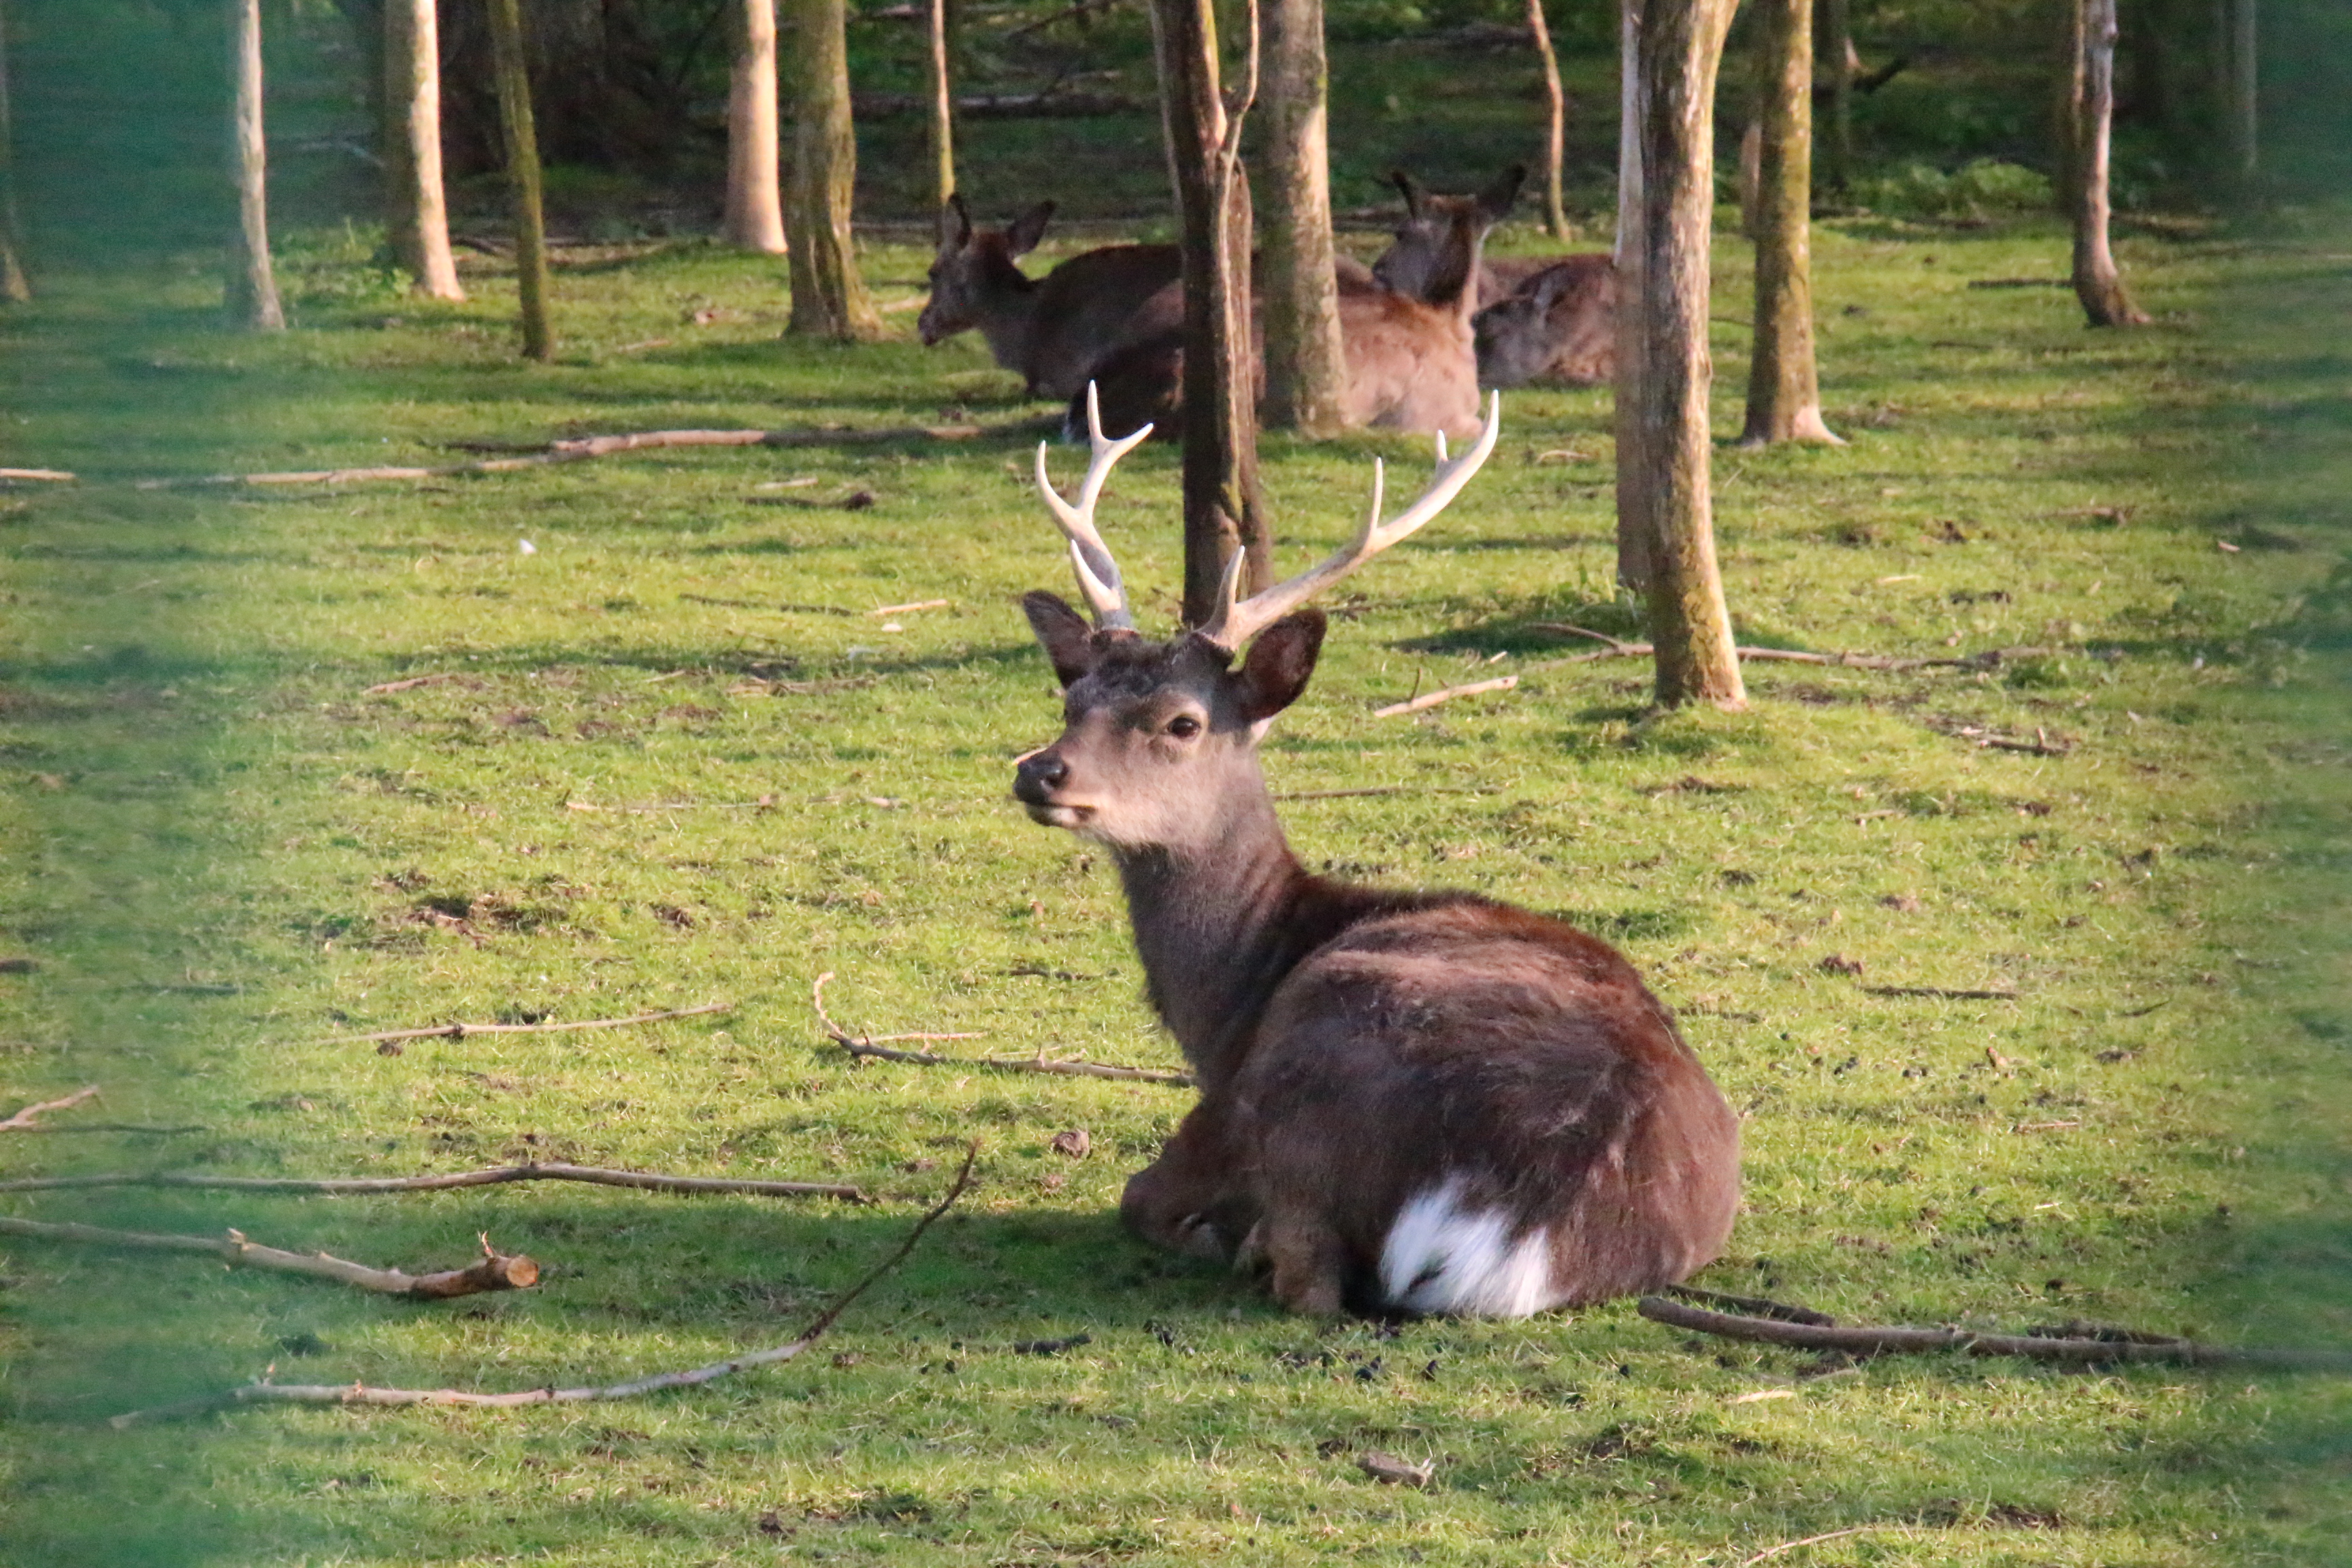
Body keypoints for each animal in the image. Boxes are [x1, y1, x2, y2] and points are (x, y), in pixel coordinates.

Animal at [1015, 385, 1750, 1316]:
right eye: (1072, 697)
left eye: (1182, 722)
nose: (1040, 770)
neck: (1225, 1008)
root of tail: (1523, 1226)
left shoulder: (1221, 1107)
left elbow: (1136, 1196)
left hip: (1316, 1050)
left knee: (1308, 1277)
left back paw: (1246, 1245)